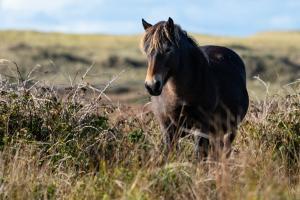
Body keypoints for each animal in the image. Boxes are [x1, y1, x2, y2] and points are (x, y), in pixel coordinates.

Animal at [141, 17, 248, 161]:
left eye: (168, 49)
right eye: (147, 50)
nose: (152, 85)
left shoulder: (201, 127)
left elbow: (199, 156)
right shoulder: (167, 127)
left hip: (228, 130)